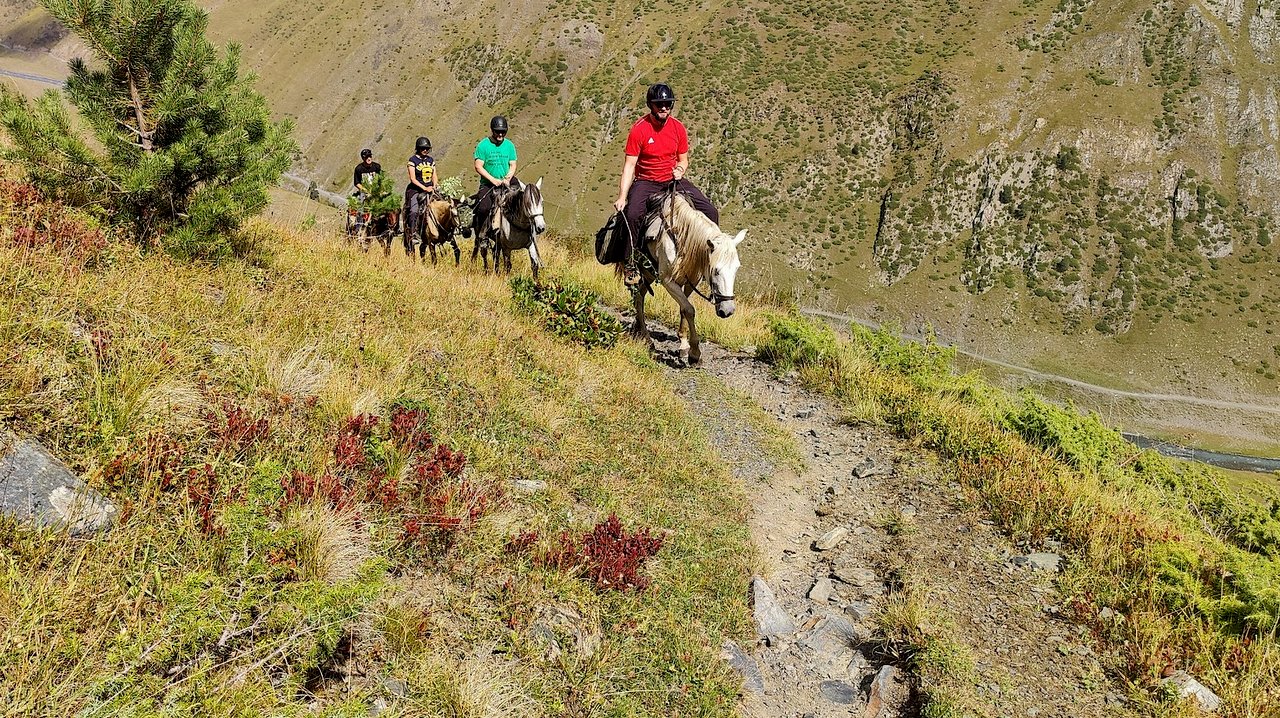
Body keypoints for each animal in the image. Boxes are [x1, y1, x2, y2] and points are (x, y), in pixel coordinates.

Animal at [627, 190, 747, 363]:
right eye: (715, 270)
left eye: (736, 268)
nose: (728, 310)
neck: (682, 238)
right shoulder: (668, 282)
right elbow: (689, 309)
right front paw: (694, 352)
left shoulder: (692, 281)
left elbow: (684, 309)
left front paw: (683, 344)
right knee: (638, 295)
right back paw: (647, 338)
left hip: (649, 275)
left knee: (639, 295)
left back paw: (639, 328)